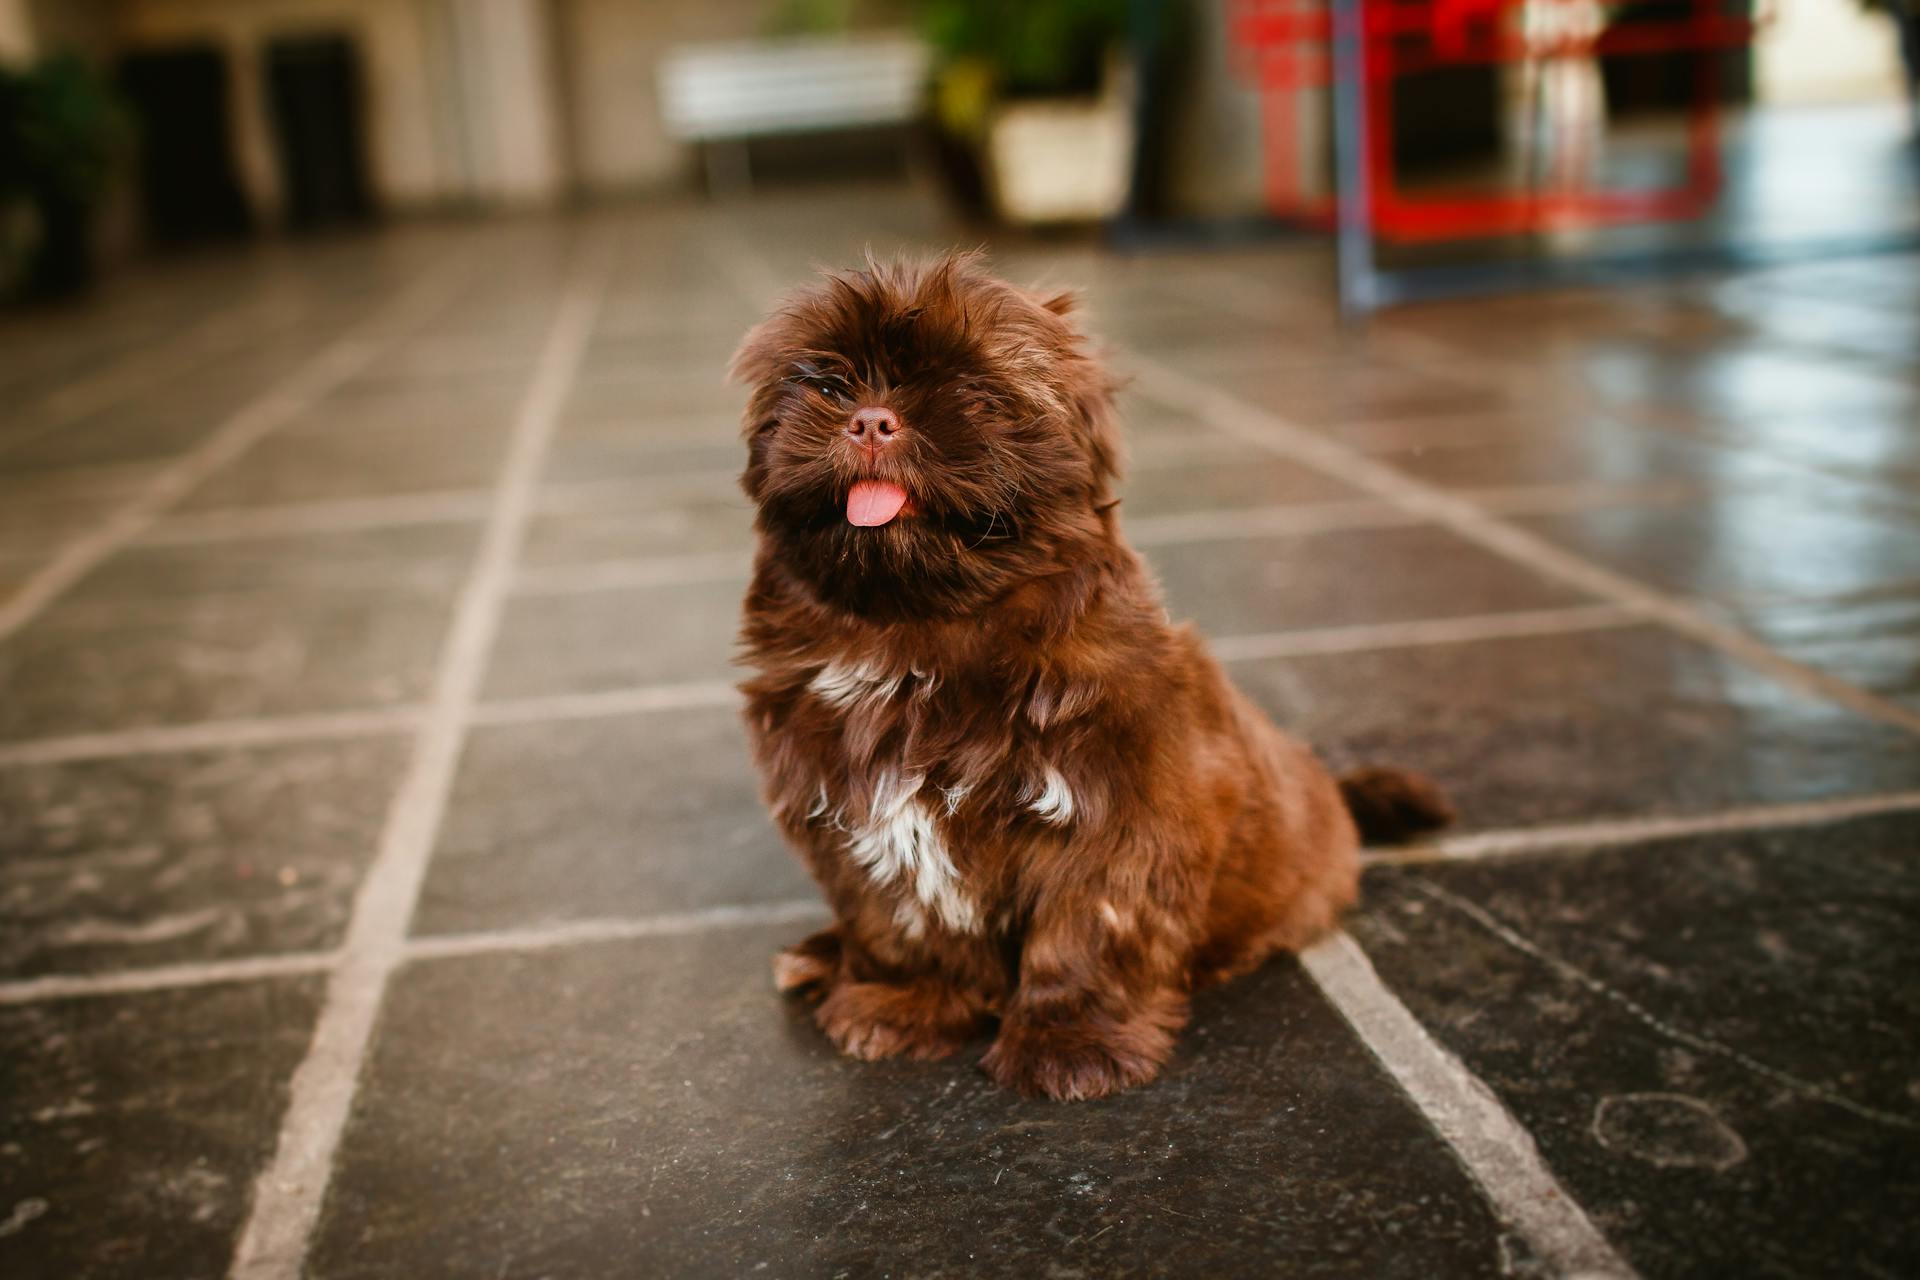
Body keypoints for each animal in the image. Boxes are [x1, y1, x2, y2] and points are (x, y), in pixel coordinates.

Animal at [729, 253, 1443, 1105]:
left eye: (970, 391)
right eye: (829, 385)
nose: (871, 419)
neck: (916, 632)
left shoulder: (1117, 814)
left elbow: (1085, 930)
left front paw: (1069, 1040)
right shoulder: (856, 808)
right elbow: (900, 917)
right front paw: (909, 1000)